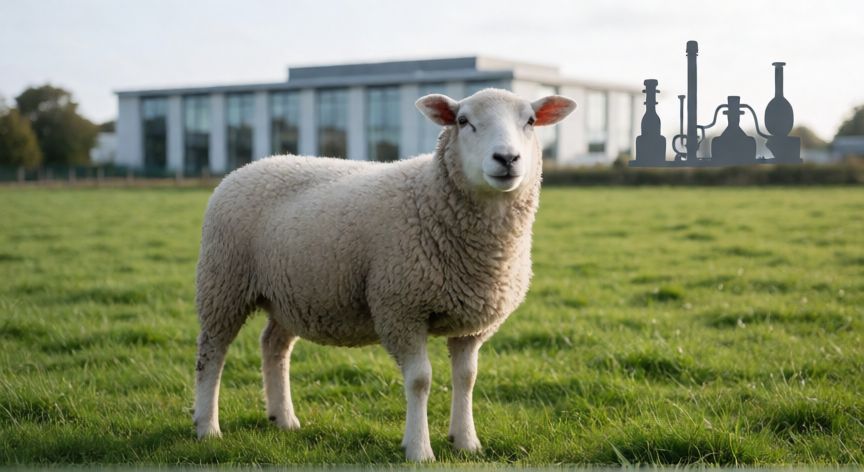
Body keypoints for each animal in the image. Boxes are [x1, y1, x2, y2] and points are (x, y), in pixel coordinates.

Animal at [193, 88, 576, 461]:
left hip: (290, 293)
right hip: (223, 282)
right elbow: (420, 380)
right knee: (212, 353)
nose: (507, 159)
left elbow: (467, 378)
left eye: (530, 121)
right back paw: (207, 427)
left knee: (274, 345)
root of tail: (252, 165)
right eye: (463, 121)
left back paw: (283, 418)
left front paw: (466, 442)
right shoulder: (400, 309)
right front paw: (419, 449)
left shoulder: (472, 324)